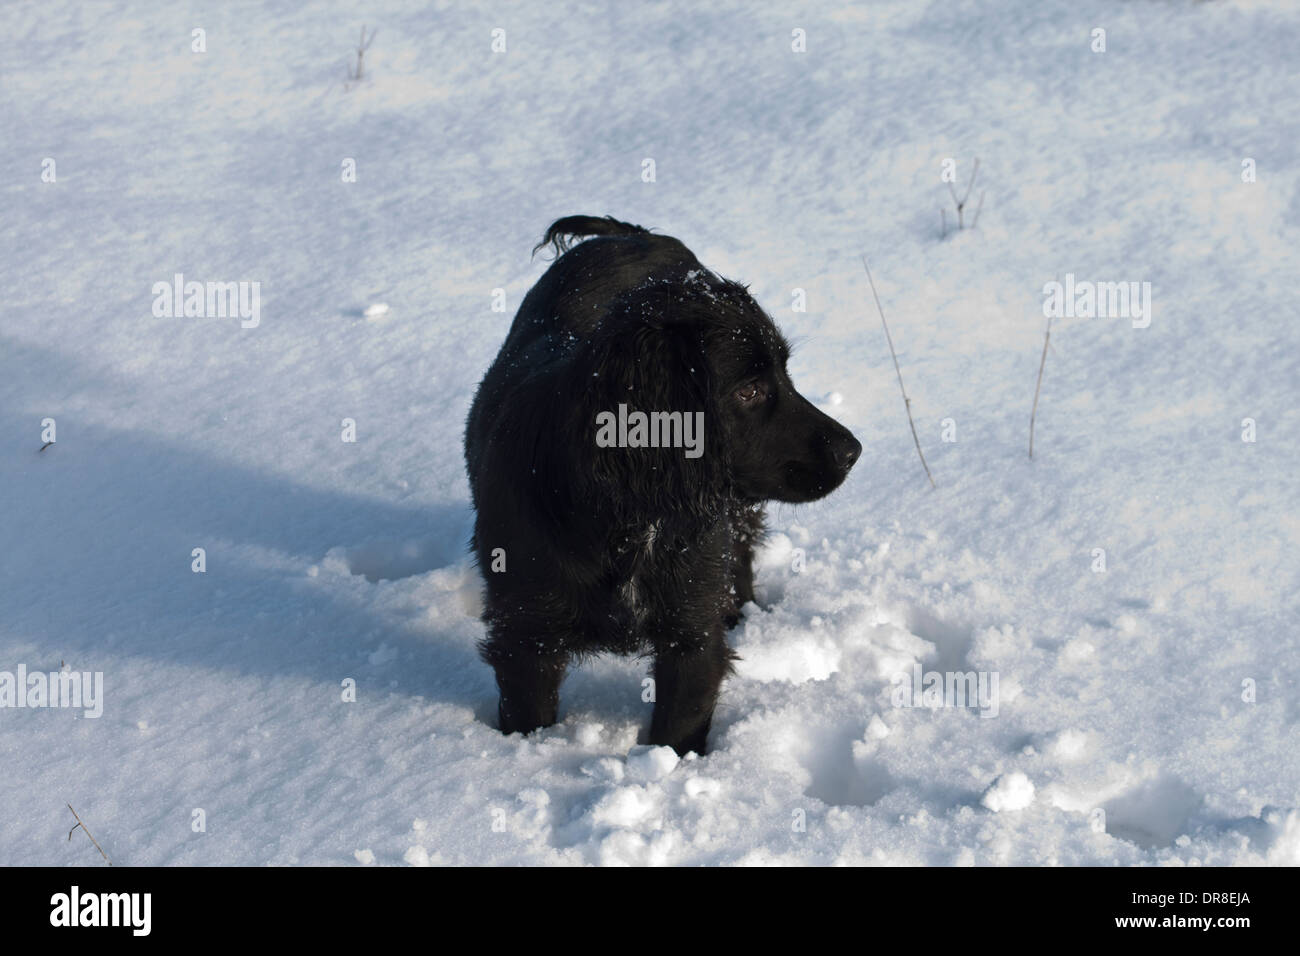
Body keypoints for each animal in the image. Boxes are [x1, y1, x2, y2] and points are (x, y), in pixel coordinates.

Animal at [462, 217, 857, 754]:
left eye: (785, 373)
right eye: (749, 390)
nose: (852, 451)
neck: (630, 520)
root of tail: (637, 234)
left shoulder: (692, 637)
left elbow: (679, 724)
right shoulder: (525, 635)